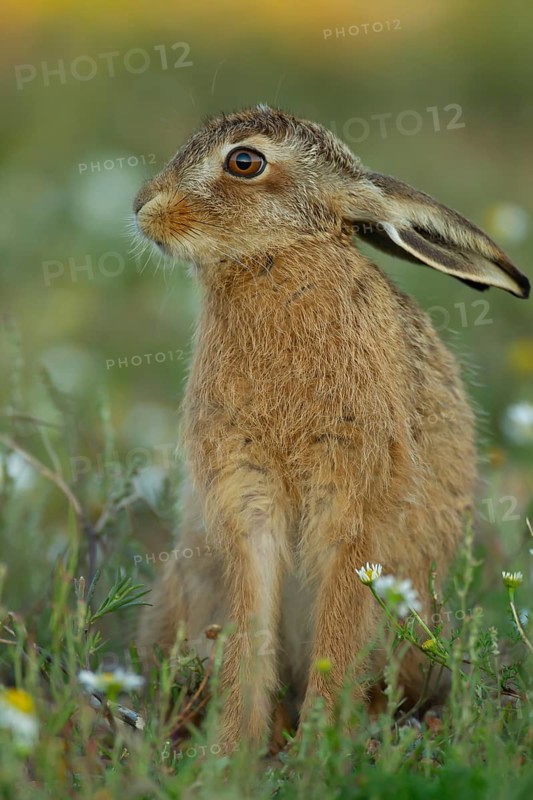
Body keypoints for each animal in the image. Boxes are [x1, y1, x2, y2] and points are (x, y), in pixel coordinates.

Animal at [132, 105, 529, 749]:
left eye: (244, 161)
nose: (143, 207)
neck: (278, 259)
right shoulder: (245, 489)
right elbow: (249, 622)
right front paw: (232, 750)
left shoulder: (353, 498)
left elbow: (340, 628)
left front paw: (320, 745)